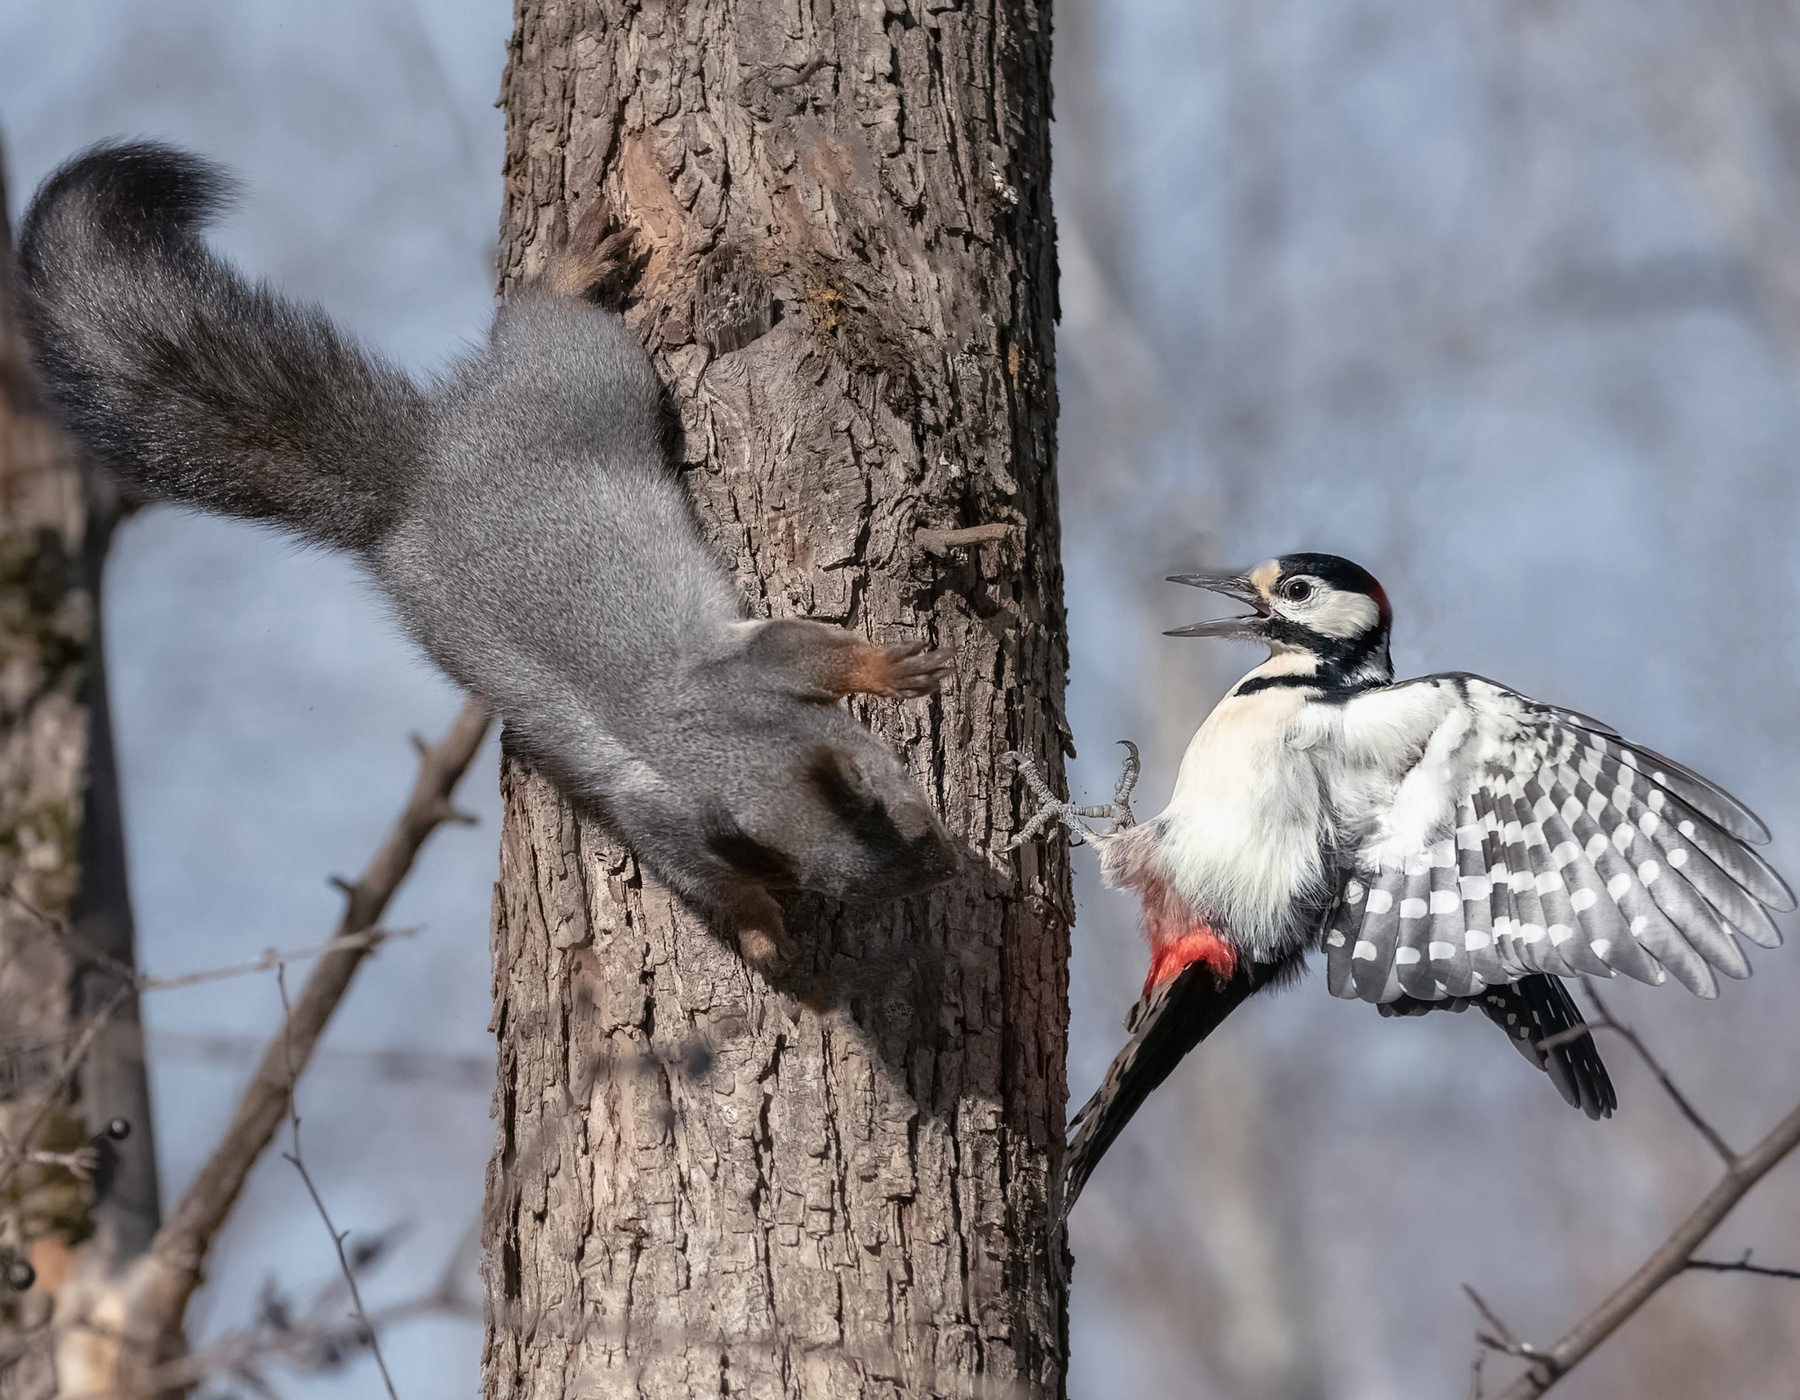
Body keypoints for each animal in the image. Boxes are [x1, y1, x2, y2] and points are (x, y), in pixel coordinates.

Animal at [16, 141, 960, 972]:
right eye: (883, 838)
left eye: (899, 806)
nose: (948, 870)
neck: (709, 746)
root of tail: (421, 475)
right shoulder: (690, 775)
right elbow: (720, 852)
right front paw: (764, 932)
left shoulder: (731, 709)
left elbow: (805, 657)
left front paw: (883, 674)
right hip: (575, 391)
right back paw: (565, 273)